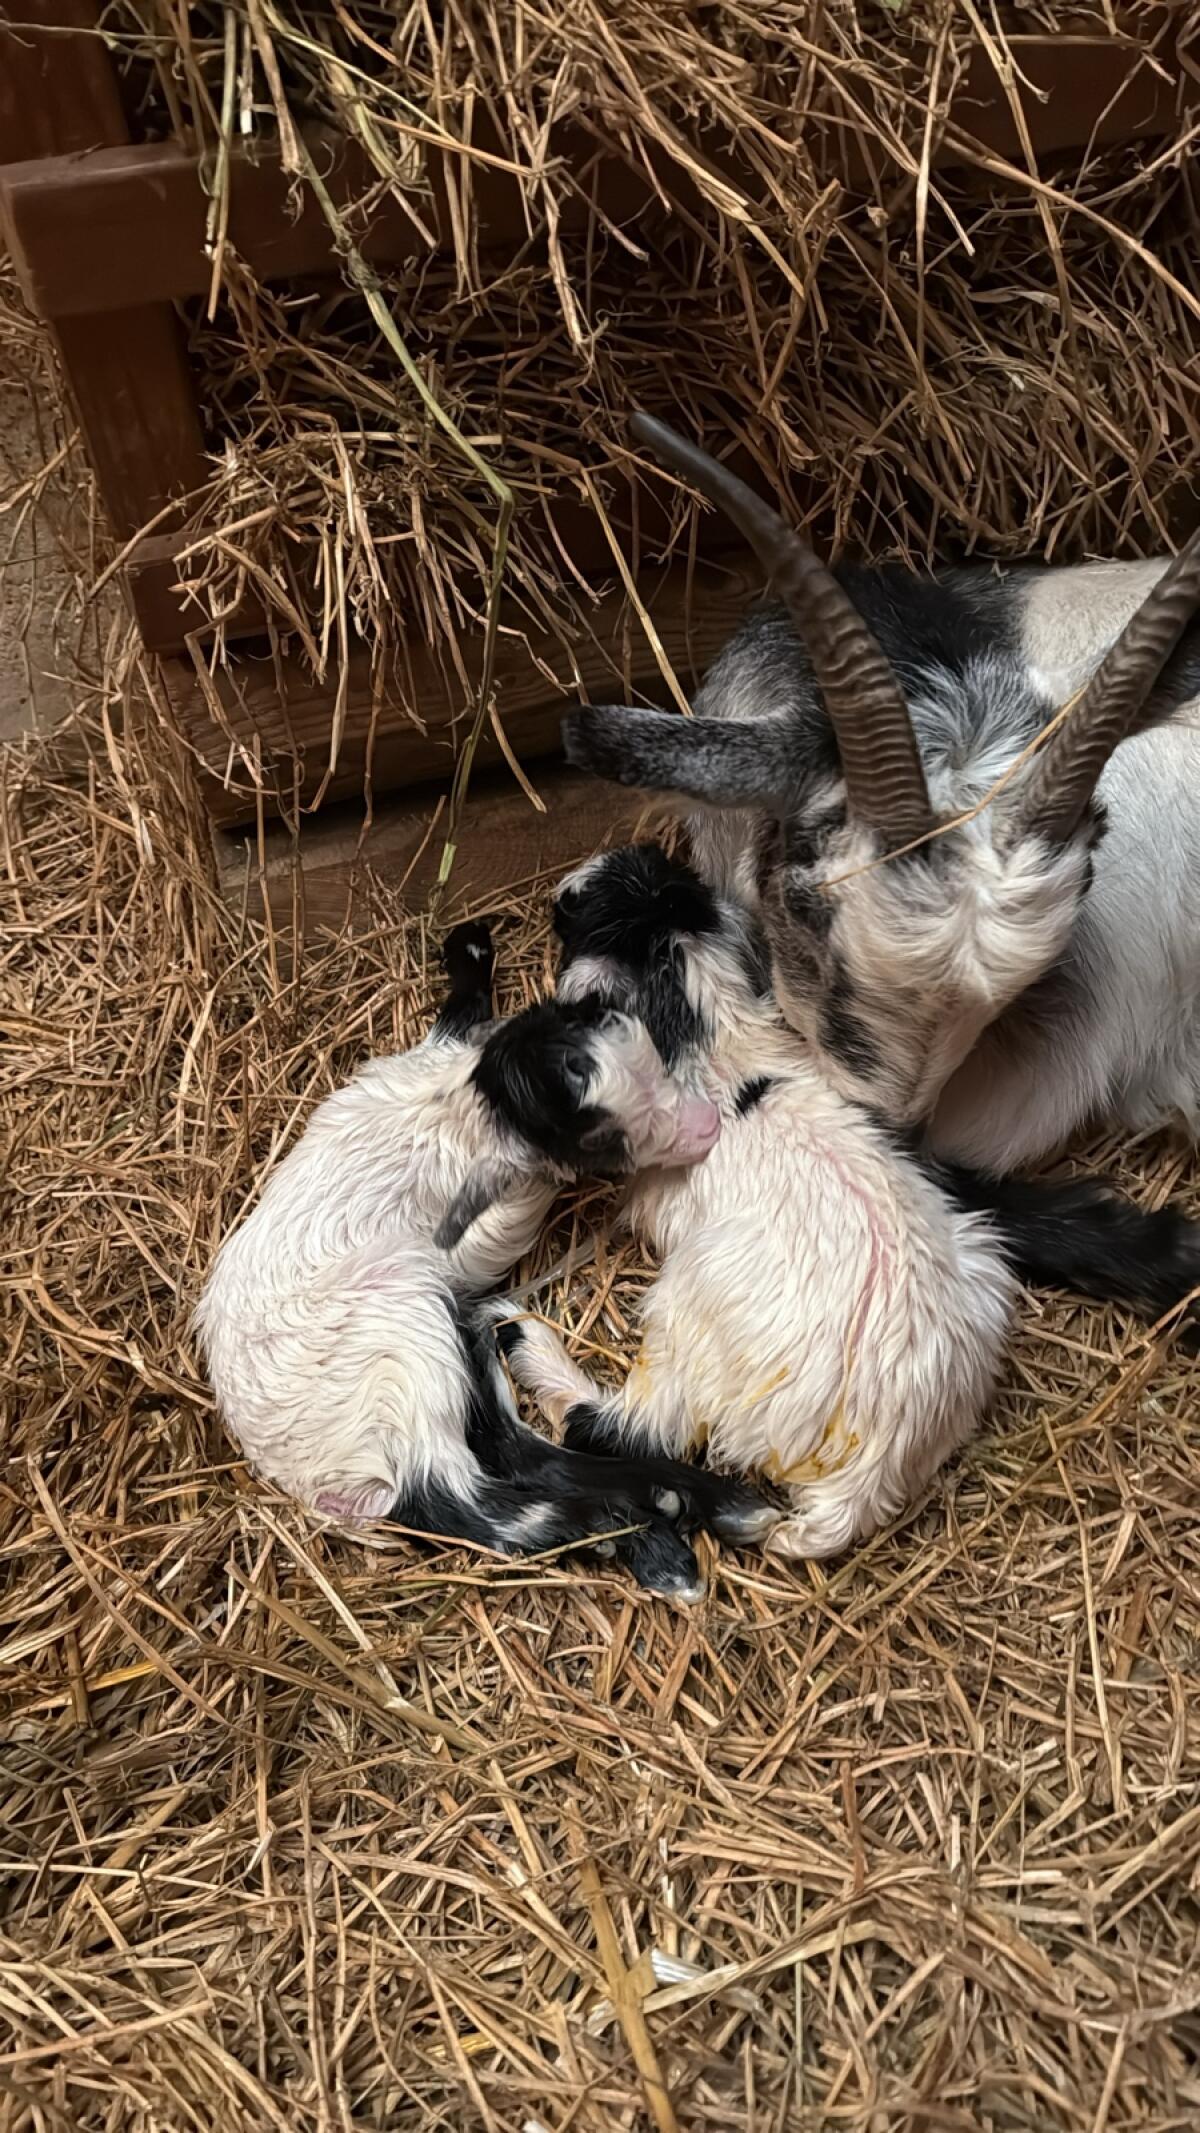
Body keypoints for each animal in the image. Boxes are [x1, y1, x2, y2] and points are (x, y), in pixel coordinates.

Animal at [195, 918, 773, 1599]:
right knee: (468, 1497)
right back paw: (660, 1528)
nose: (706, 1125)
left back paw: (682, 1507)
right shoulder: (467, 1239)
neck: (470, 1105)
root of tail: (316, 1477)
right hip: (402, 1330)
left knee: (507, 1443)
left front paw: (470, 948)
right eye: (601, 1138)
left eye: (656, 1056)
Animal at [497, 845, 1200, 1562]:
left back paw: (526, 1341)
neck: (721, 1039)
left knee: (627, 1425)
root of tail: (869, 1468)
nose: (567, 889)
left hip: (689, 1313)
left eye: (582, 920)